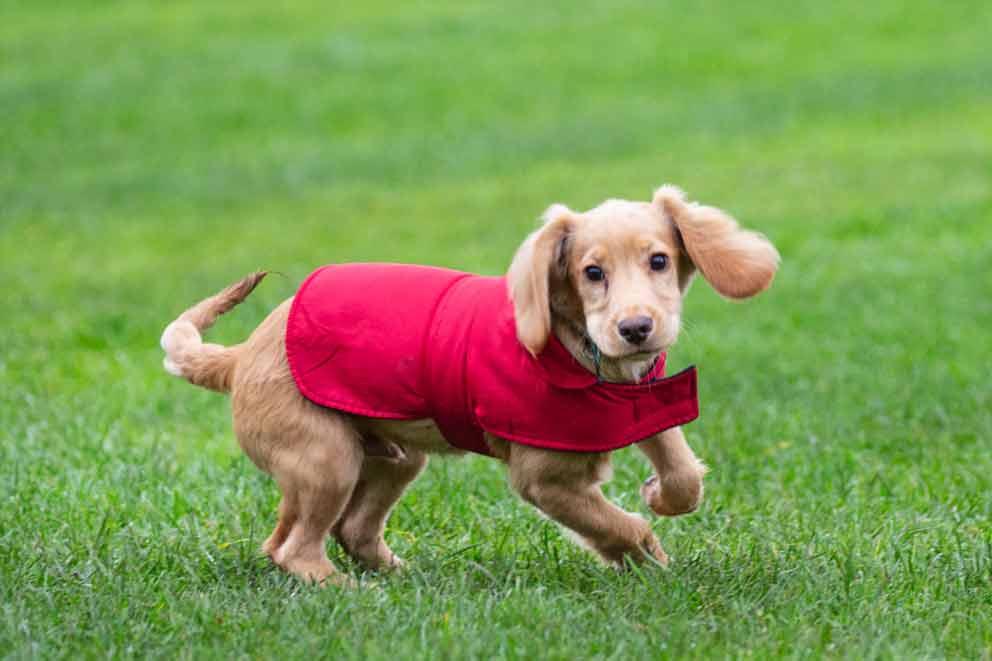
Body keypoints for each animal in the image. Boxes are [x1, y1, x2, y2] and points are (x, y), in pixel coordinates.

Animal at [163, 184, 780, 584]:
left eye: (659, 260)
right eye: (592, 273)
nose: (635, 329)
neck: (590, 362)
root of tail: (241, 356)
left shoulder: (646, 403)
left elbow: (683, 476)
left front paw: (659, 495)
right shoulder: (544, 479)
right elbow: (617, 523)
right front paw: (646, 555)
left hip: (389, 457)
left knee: (334, 533)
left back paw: (399, 575)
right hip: (326, 458)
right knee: (297, 549)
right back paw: (348, 590)